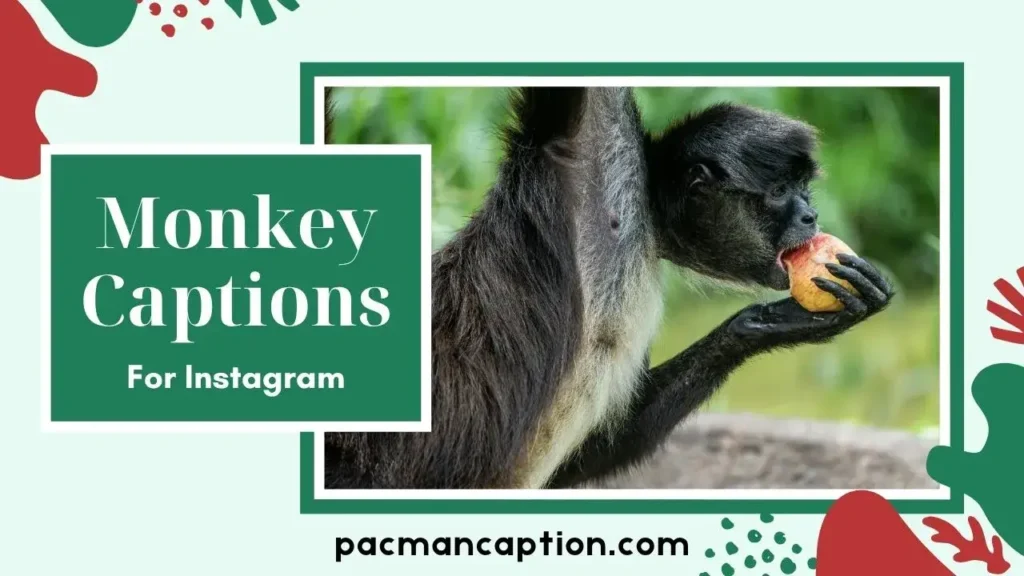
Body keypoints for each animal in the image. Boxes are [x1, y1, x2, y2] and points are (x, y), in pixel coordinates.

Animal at [322, 87, 893, 490]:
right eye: (778, 191)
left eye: (804, 189)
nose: (810, 215)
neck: (640, 223)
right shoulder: (579, 149)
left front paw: (766, 325)